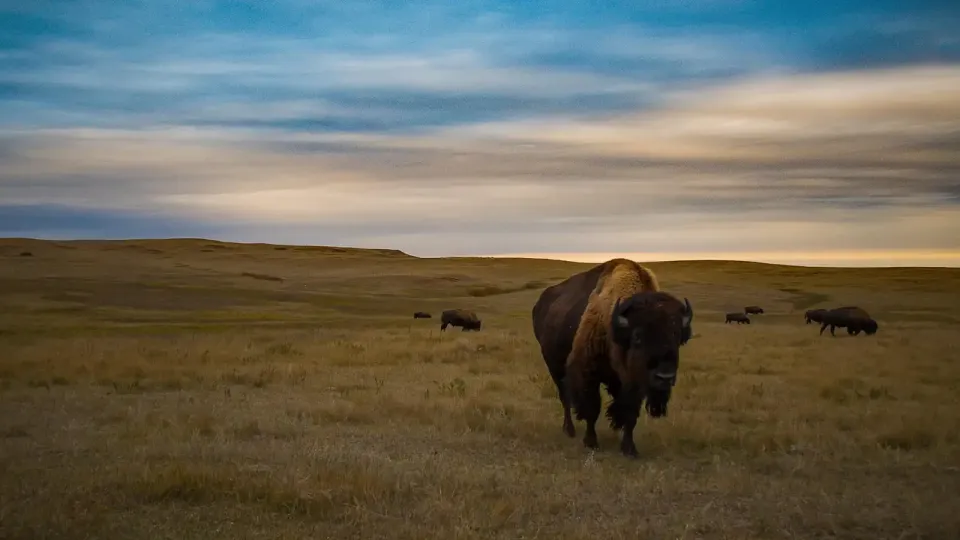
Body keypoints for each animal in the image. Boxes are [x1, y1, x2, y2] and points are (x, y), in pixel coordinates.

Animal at [528, 258, 692, 456]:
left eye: (677, 336)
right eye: (637, 336)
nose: (664, 377)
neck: (616, 328)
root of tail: (541, 303)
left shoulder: (633, 383)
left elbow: (630, 413)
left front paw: (629, 449)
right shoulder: (588, 374)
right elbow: (592, 409)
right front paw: (591, 442)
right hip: (554, 367)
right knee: (565, 398)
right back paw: (569, 430)